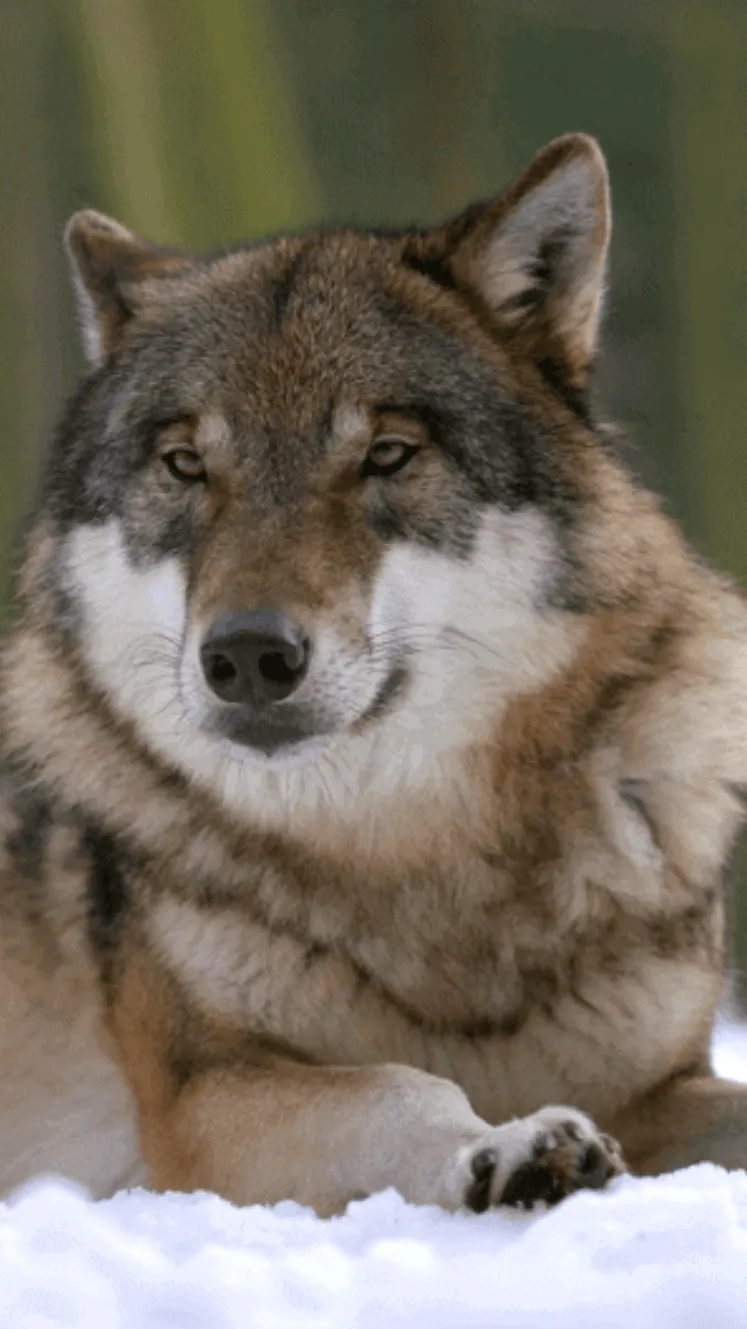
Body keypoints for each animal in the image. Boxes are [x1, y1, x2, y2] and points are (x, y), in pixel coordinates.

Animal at [1, 133, 747, 1216]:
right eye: (186, 465)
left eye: (387, 454)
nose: (248, 656)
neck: (409, 847)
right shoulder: (201, 1101)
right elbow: (406, 1085)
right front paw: (513, 1144)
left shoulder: (663, 1085)